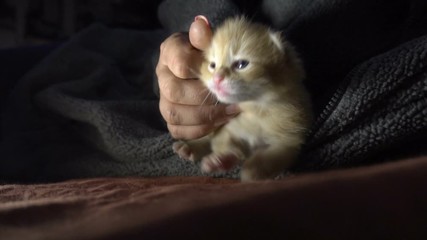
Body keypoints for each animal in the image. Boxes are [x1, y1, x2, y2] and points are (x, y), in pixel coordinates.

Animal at [172, 16, 312, 181]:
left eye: (241, 64)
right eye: (213, 65)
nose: (217, 78)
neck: (257, 109)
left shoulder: (289, 140)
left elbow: (272, 157)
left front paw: (253, 170)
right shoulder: (228, 129)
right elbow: (225, 143)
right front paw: (222, 160)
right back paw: (188, 147)